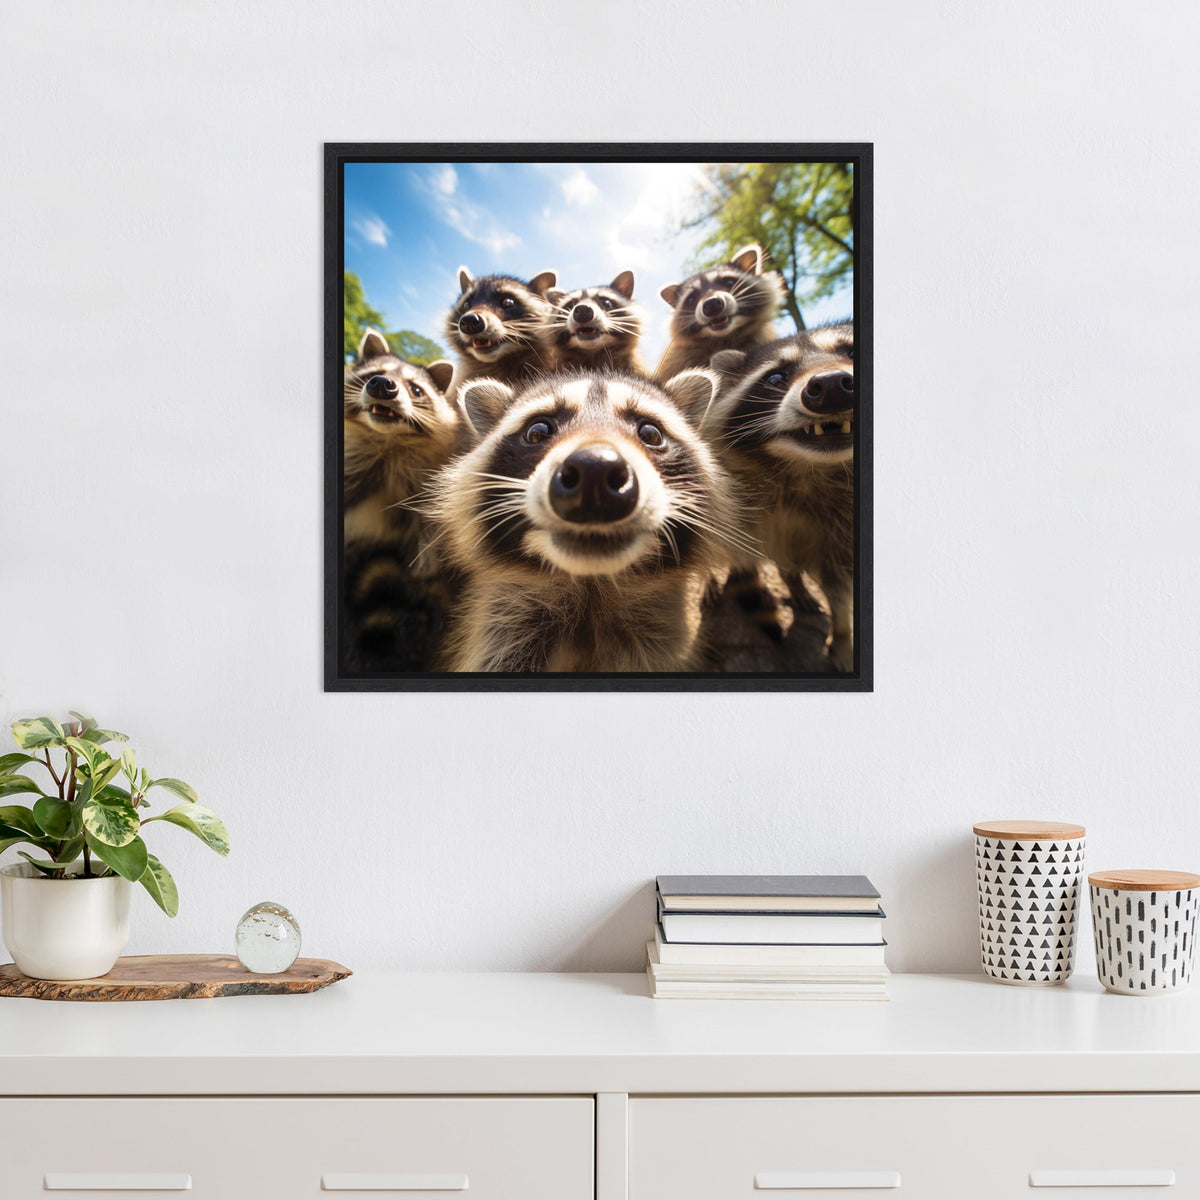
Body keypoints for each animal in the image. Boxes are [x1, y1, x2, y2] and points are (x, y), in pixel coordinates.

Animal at [707, 323, 856, 672]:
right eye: (776, 378)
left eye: (852, 351)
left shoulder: (842, 530)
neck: (808, 468)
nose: (832, 386)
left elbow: (840, 586)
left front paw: (842, 634)